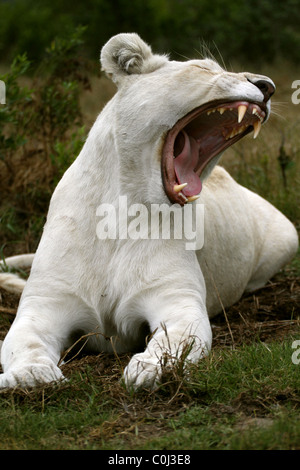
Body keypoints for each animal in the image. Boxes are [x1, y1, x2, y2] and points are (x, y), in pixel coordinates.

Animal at [0, 34, 298, 390]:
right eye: (204, 68)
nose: (268, 86)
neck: (121, 213)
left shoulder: (177, 298)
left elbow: (175, 340)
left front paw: (152, 369)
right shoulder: (44, 304)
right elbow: (24, 343)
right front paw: (31, 375)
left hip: (288, 237)